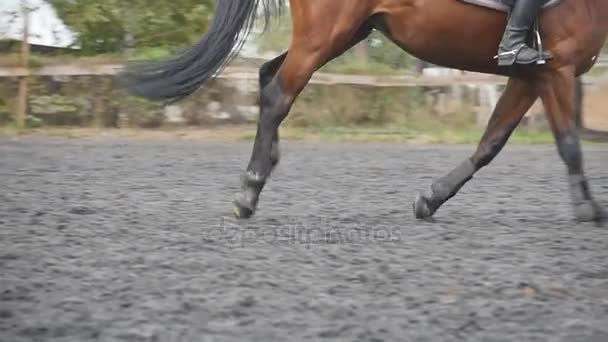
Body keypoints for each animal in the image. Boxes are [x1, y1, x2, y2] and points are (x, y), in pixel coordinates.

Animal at [121, 0, 604, 223]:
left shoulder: (531, 76)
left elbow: (491, 141)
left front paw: (431, 198)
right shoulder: (557, 71)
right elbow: (569, 143)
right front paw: (588, 209)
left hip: (345, 33)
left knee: (266, 76)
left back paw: (264, 169)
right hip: (324, 36)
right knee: (278, 94)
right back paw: (248, 192)